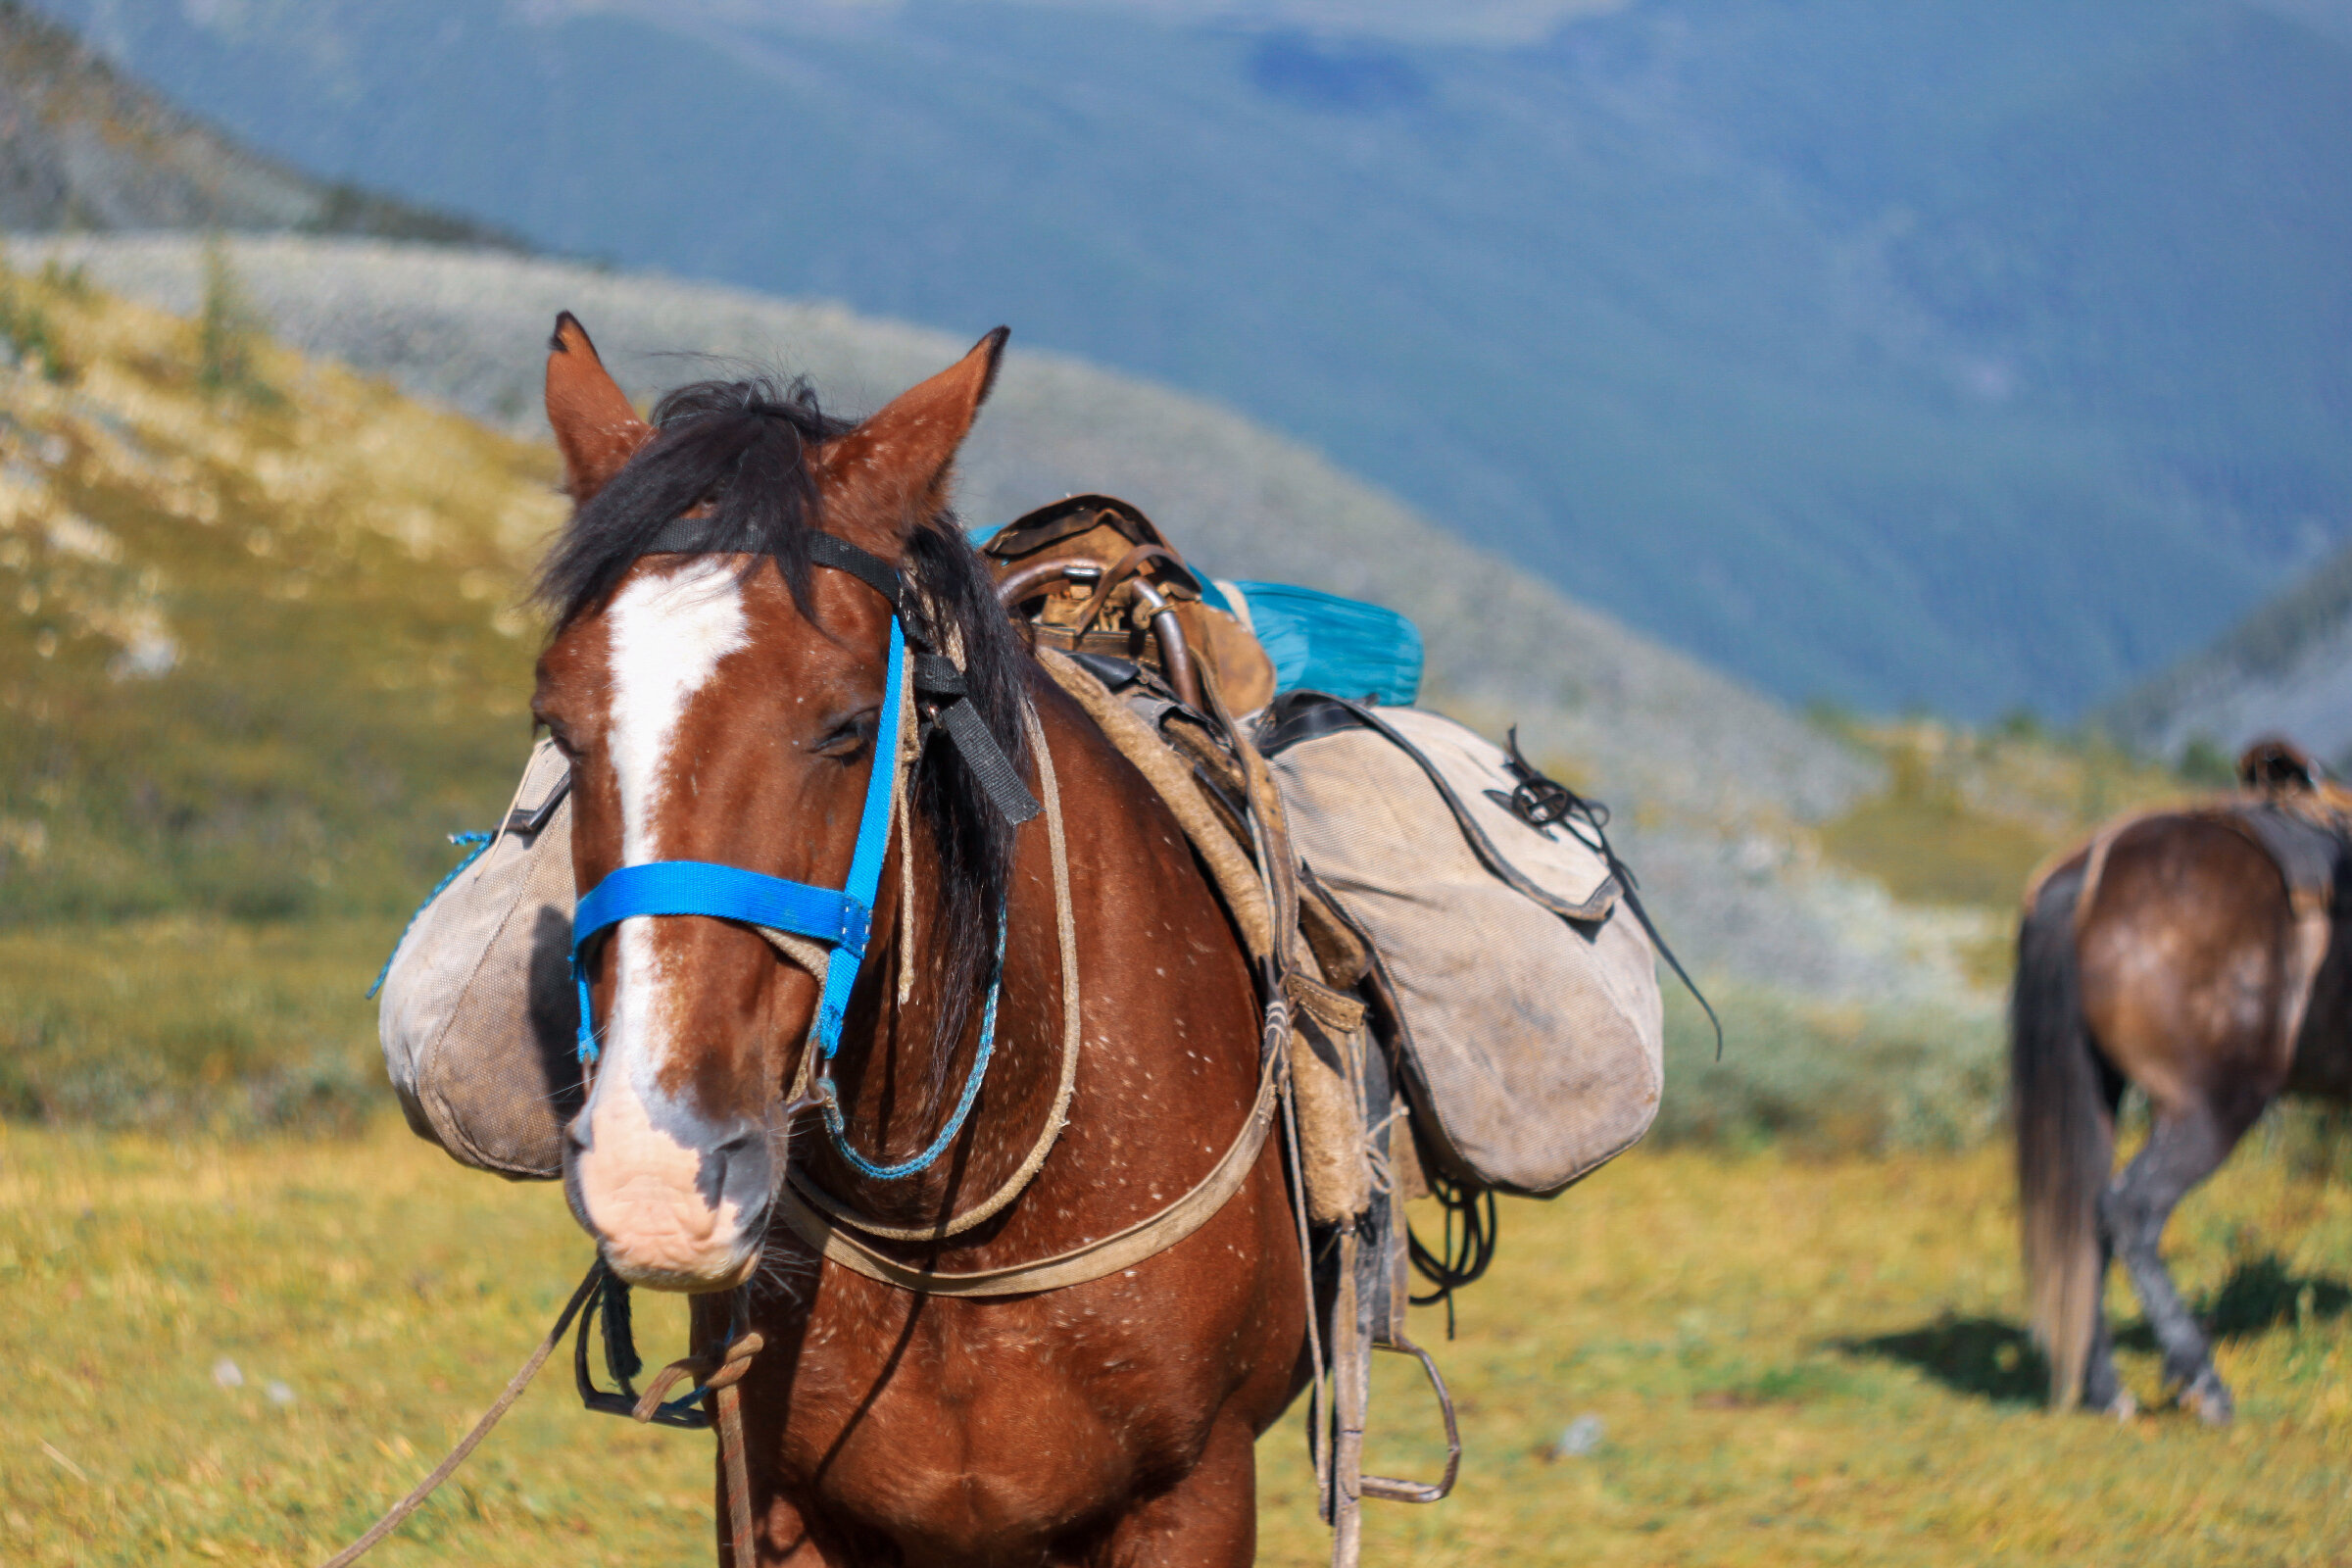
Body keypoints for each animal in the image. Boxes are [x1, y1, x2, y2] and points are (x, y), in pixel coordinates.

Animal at [2003, 747, 2352, 1419]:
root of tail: (2085, 875)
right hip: (2212, 1109)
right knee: (2130, 1211)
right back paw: (2203, 1381)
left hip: (2103, 1094)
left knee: (2089, 1217)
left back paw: (2107, 1390)